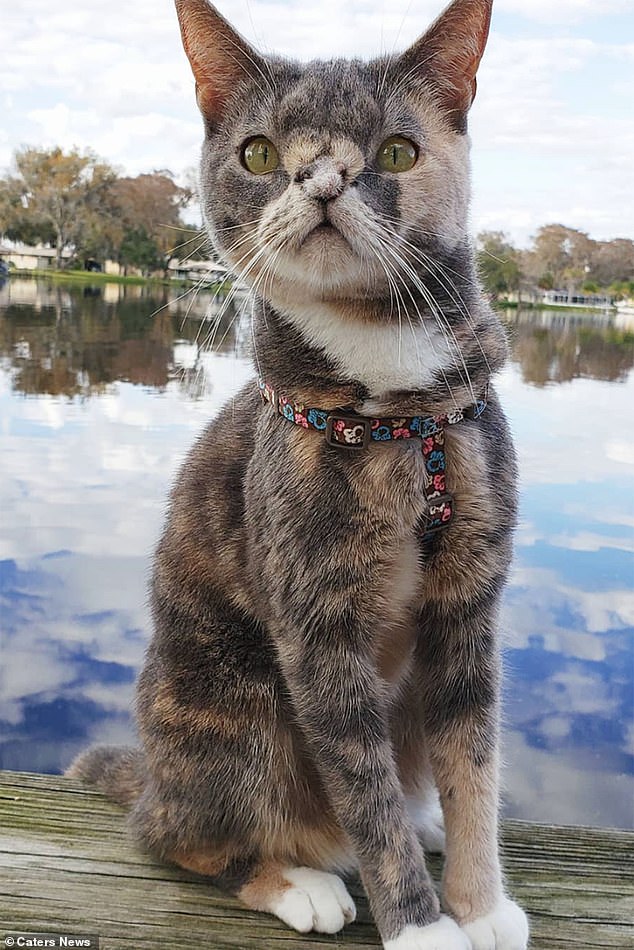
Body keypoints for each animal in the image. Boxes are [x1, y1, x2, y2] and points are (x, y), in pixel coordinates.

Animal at [66, 1, 524, 950]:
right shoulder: (315, 624)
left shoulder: (470, 601)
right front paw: (423, 927)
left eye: (397, 151)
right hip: (237, 709)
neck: (393, 400)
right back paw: (298, 880)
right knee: (177, 838)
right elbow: (365, 790)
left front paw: (481, 905)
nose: (321, 182)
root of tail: (155, 777)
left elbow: (474, 759)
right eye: (260, 154)